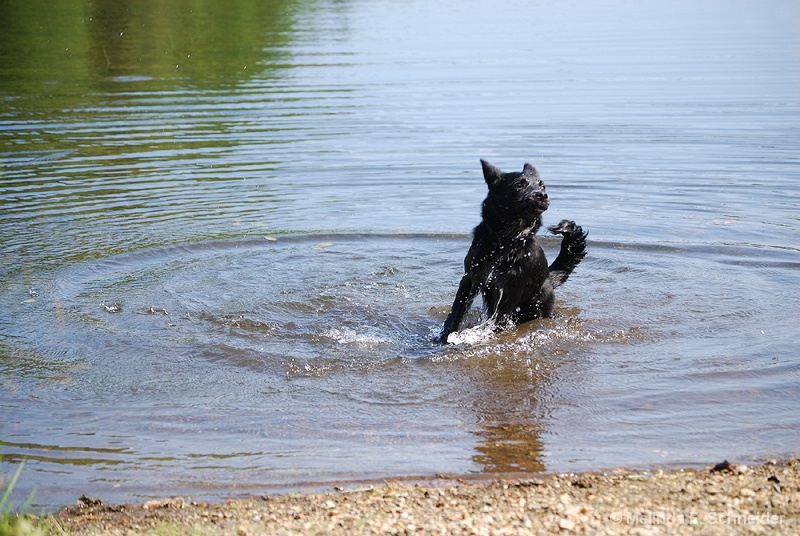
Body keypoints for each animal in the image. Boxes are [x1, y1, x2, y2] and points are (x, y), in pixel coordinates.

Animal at [438, 160, 588, 344]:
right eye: (518, 184)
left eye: (542, 185)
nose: (542, 195)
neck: (506, 241)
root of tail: (549, 279)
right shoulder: (470, 278)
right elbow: (456, 314)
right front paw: (443, 338)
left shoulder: (514, 286)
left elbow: (498, 321)